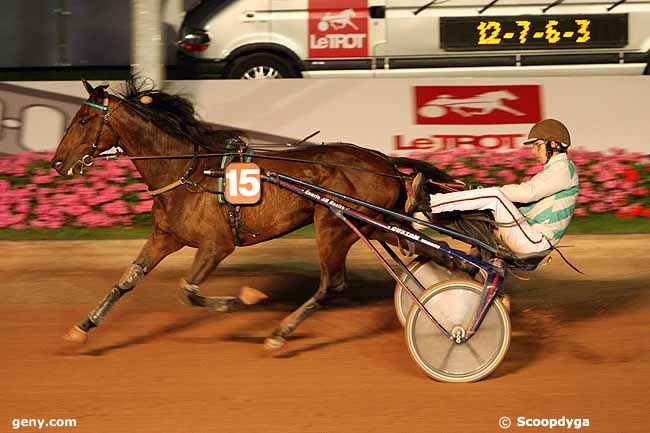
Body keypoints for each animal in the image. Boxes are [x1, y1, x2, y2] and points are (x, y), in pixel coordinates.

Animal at [50, 77, 460, 348]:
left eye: (84, 120)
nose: (57, 162)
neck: (187, 171)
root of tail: (384, 161)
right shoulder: (165, 238)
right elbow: (126, 281)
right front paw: (83, 325)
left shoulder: (216, 245)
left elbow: (187, 292)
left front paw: (242, 300)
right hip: (372, 224)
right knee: (430, 251)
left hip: (333, 225)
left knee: (333, 284)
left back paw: (281, 332)